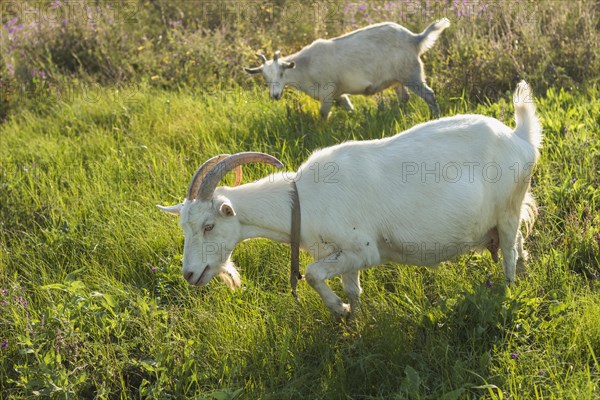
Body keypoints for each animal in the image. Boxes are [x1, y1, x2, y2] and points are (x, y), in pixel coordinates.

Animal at [161, 83, 544, 320]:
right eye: (184, 227)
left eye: (209, 225)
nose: (189, 274)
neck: (301, 200)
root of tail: (520, 138)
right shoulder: (341, 254)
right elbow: (353, 288)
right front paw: (354, 318)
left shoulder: (363, 249)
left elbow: (312, 274)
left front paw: (339, 310)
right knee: (519, 244)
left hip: (507, 211)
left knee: (509, 254)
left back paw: (509, 290)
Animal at [245, 18, 450, 118]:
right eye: (265, 78)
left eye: (281, 73)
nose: (275, 96)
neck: (305, 66)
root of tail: (415, 39)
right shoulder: (338, 94)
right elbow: (349, 107)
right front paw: (356, 119)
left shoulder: (327, 93)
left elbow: (323, 115)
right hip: (398, 79)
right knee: (404, 98)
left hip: (411, 74)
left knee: (429, 95)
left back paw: (436, 117)